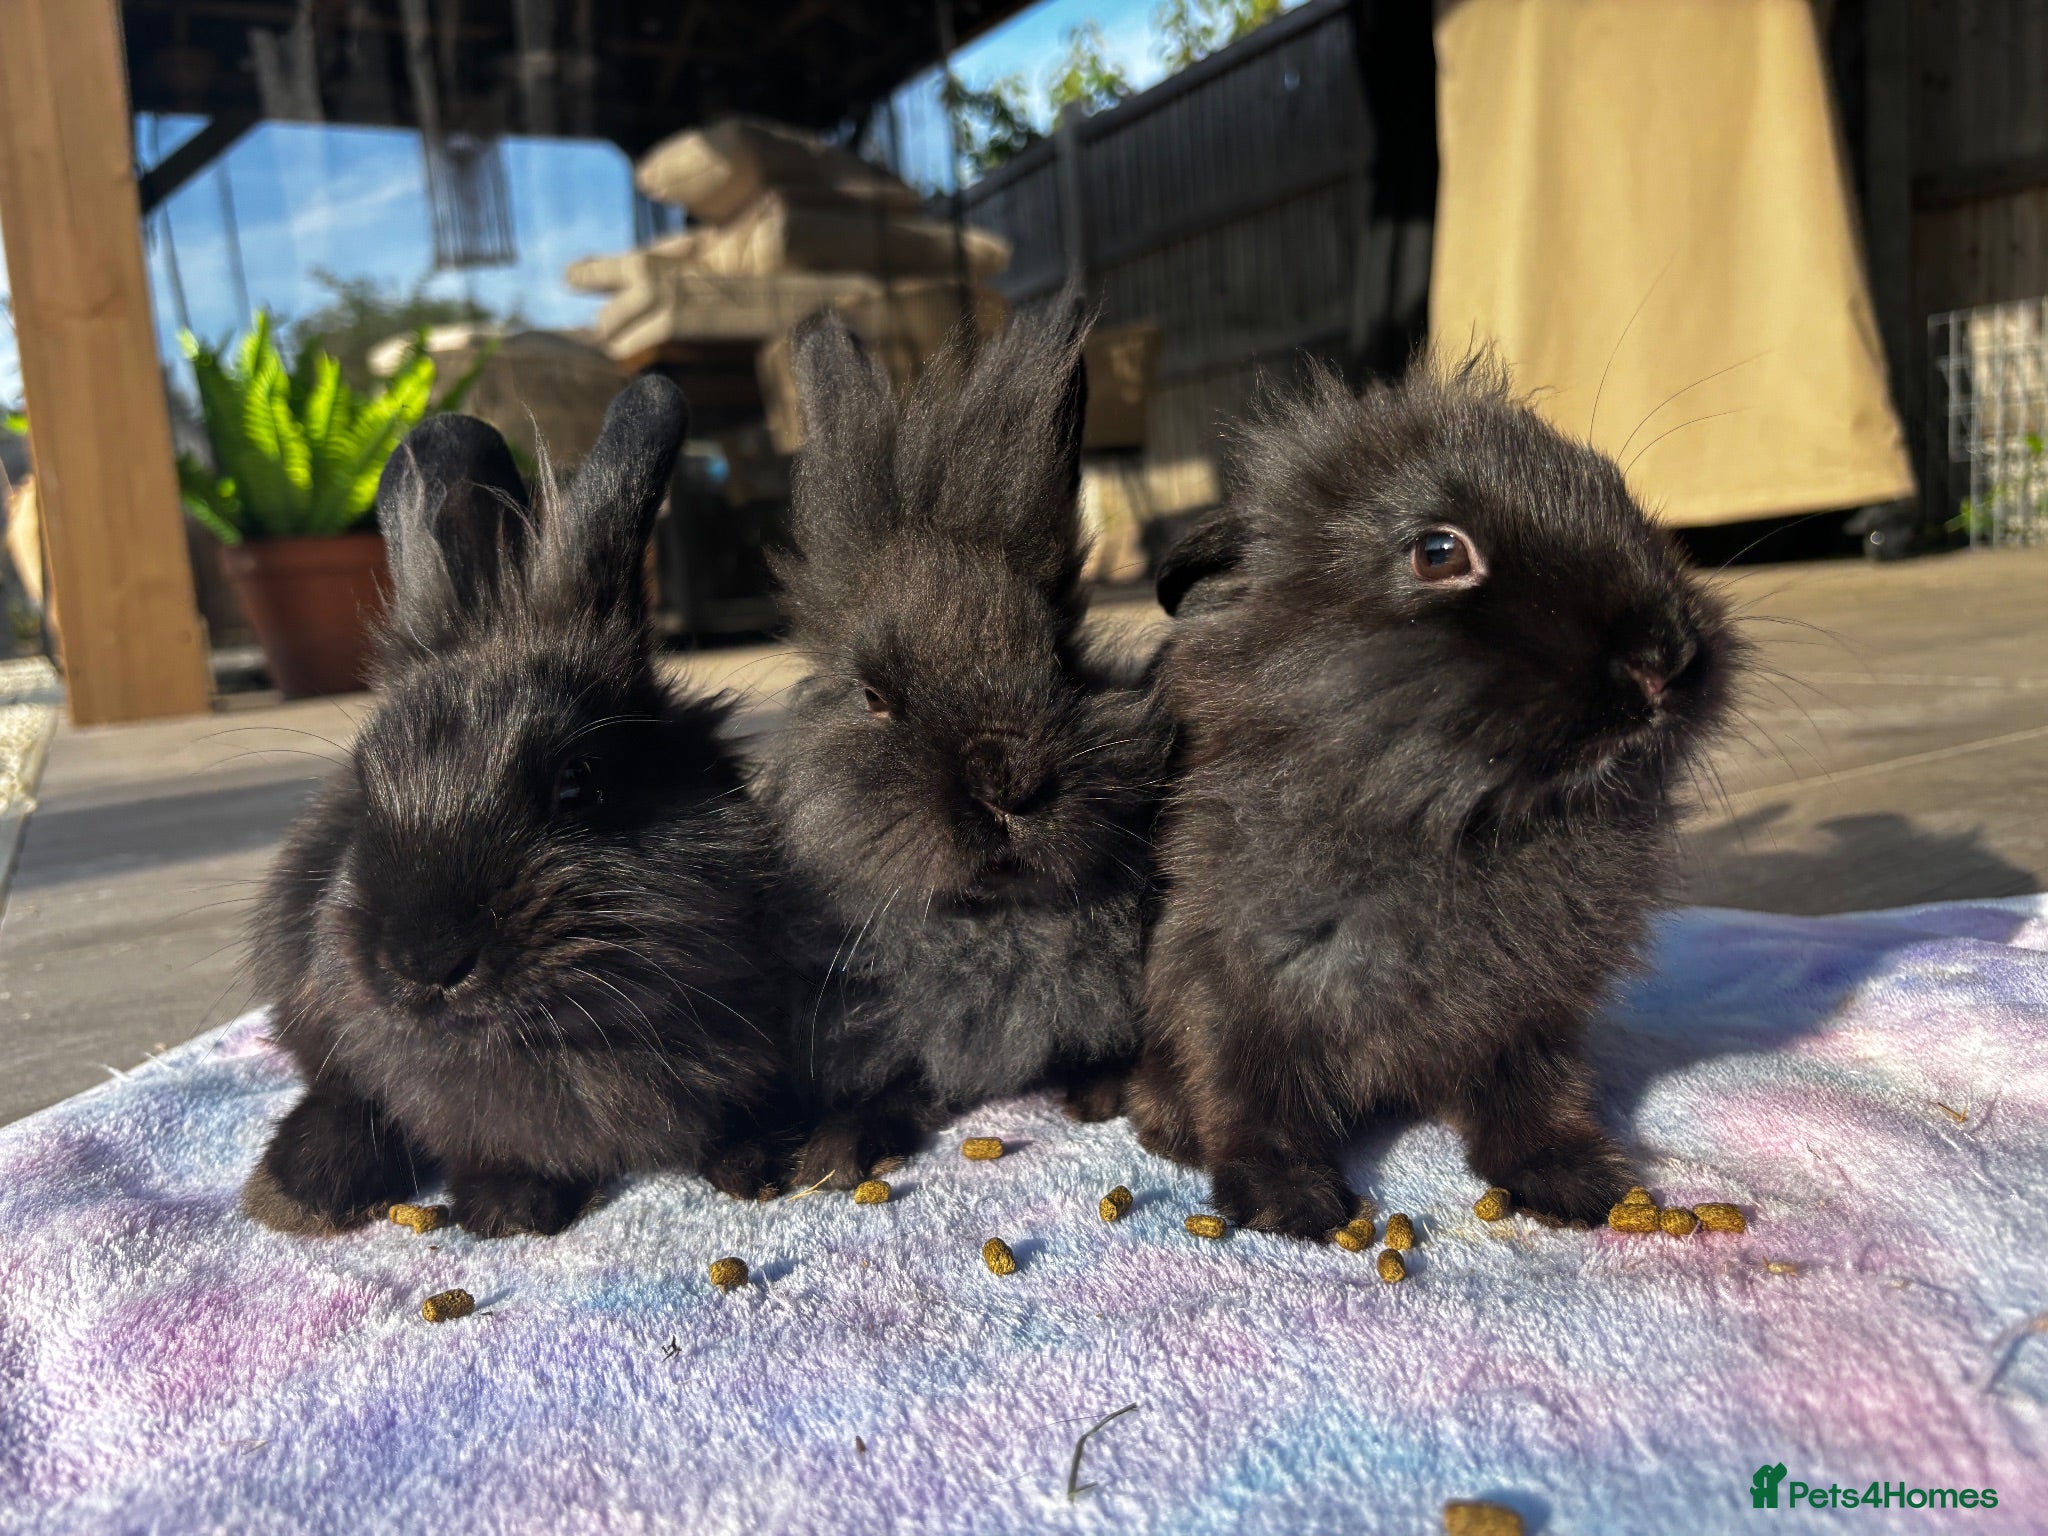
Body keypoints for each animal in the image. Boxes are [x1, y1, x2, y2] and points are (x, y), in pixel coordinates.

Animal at [240, 376, 793, 1240]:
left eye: (579, 782)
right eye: (367, 787)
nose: (424, 965)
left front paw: (763, 1164)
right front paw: (508, 1207)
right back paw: (300, 1190)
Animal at [758, 300, 1175, 1187]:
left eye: (1061, 654)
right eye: (874, 695)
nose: (1004, 778)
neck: (990, 929)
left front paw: (1101, 1094)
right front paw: (831, 1156)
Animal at [1125, 355, 1740, 1239]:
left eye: (1619, 495)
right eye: (1439, 552)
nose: (1665, 657)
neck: (1459, 829)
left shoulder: (1529, 1016)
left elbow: (1534, 1099)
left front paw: (1578, 1182)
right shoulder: (1226, 983)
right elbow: (1249, 1099)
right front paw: (1289, 1203)